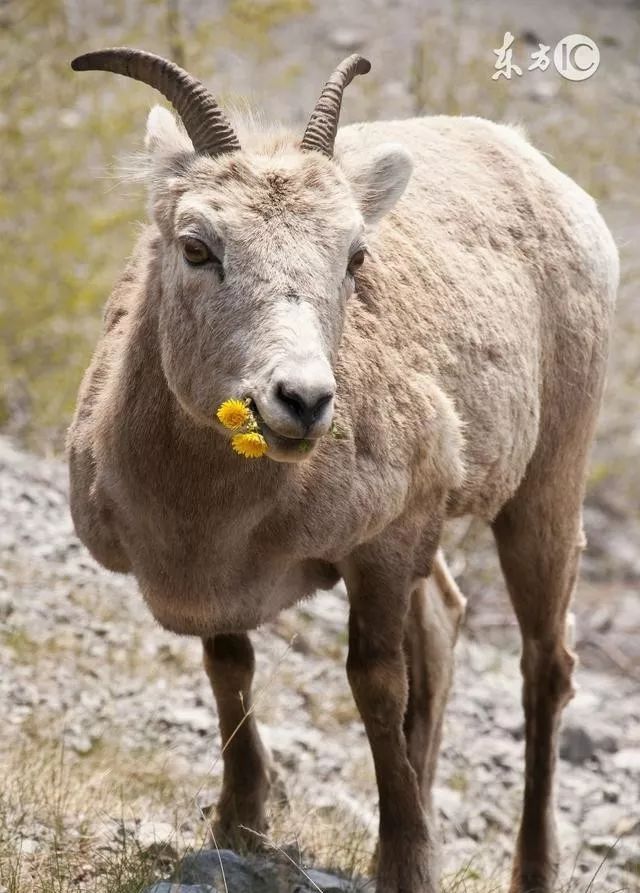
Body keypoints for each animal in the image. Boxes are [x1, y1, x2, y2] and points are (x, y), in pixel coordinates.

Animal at [69, 47, 616, 892]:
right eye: (197, 246)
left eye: (354, 256)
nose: (301, 399)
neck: (209, 514)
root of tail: (542, 170)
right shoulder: (223, 586)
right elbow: (231, 667)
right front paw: (240, 822)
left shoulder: (381, 547)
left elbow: (377, 684)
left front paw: (406, 862)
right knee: (446, 623)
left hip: (543, 487)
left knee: (545, 666)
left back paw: (530, 868)